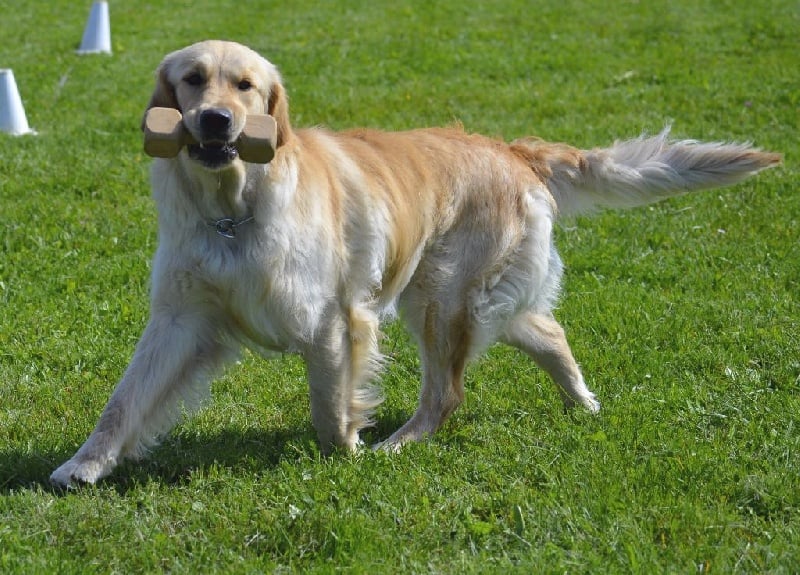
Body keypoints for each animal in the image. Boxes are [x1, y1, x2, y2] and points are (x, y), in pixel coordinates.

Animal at [48, 39, 776, 486]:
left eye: (246, 86)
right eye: (193, 80)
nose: (217, 121)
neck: (234, 209)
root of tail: (512, 148)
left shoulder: (334, 319)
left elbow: (328, 403)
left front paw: (345, 453)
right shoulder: (180, 318)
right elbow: (123, 401)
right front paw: (83, 467)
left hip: (441, 297)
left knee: (447, 392)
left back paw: (400, 444)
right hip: (473, 298)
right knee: (548, 330)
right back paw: (583, 403)